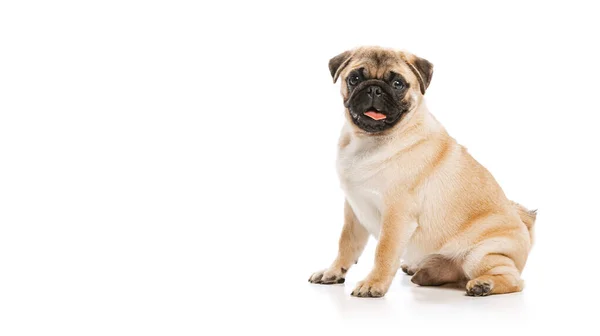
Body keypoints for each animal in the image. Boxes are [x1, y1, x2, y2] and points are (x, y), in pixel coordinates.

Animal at [310, 45, 536, 296]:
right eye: (354, 78)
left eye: (398, 83)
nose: (374, 89)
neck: (369, 141)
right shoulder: (354, 212)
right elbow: (346, 244)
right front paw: (333, 272)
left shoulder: (397, 216)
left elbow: (384, 251)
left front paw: (373, 283)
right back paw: (420, 272)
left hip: (480, 255)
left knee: (513, 280)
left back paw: (483, 284)